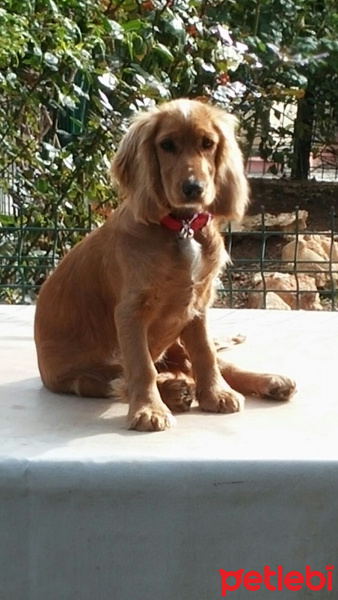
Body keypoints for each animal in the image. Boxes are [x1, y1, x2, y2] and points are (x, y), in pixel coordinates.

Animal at [34, 102, 296, 432]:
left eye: (207, 143)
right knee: (121, 381)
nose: (193, 188)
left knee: (205, 364)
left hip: (175, 342)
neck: (182, 227)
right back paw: (173, 390)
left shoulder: (197, 306)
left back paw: (269, 382)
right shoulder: (130, 312)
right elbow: (141, 367)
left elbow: (206, 354)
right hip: (81, 378)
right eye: (167, 145)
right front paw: (149, 410)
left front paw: (216, 394)